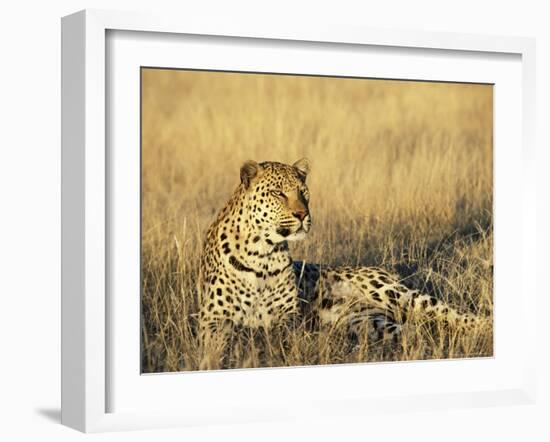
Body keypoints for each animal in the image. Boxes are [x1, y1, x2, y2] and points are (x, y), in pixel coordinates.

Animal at [201, 158, 494, 370]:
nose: (302, 214)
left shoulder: (289, 317)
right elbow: (226, 339)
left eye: (303, 193)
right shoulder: (212, 320)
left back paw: (485, 327)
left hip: (397, 294)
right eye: (277, 193)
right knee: (416, 331)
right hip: (368, 323)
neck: (263, 251)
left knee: (451, 314)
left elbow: (275, 334)